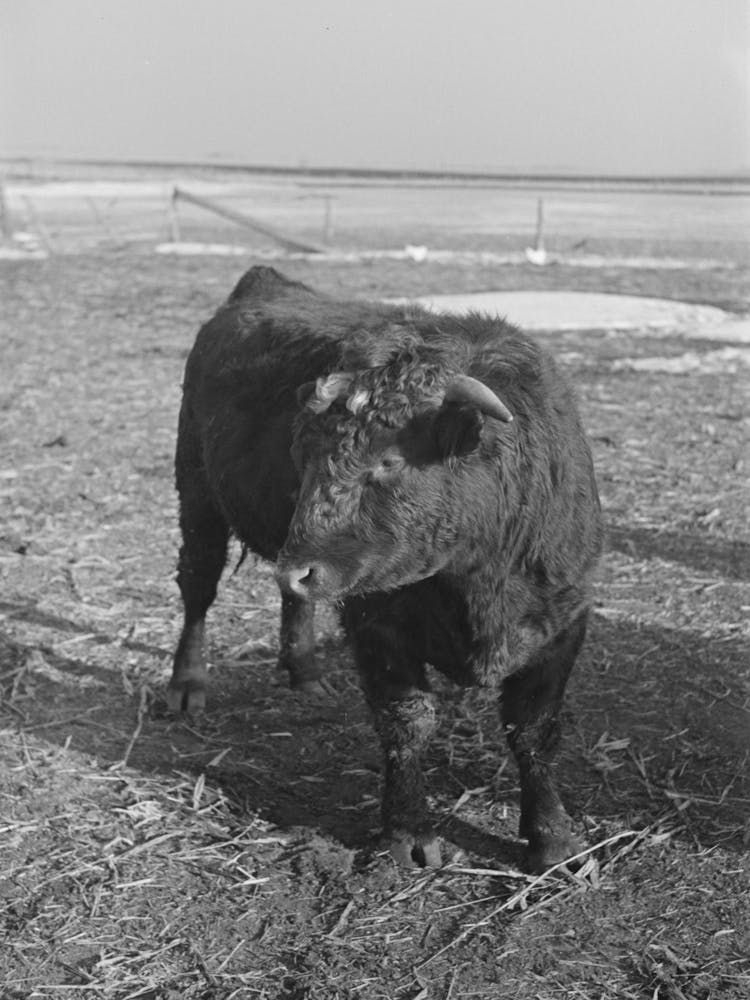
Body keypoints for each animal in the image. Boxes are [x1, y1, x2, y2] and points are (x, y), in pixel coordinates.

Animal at [168, 266, 603, 873]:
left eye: (390, 460)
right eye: (303, 456)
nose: (300, 568)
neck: (477, 575)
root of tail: (264, 283)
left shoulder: (561, 621)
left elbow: (533, 731)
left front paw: (553, 838)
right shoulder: (377, 625)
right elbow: (408, 721)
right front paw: (408, 831)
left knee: (290, 604)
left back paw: (304, 671)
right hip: (198, 496)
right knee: (198, 590)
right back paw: (186, 685)